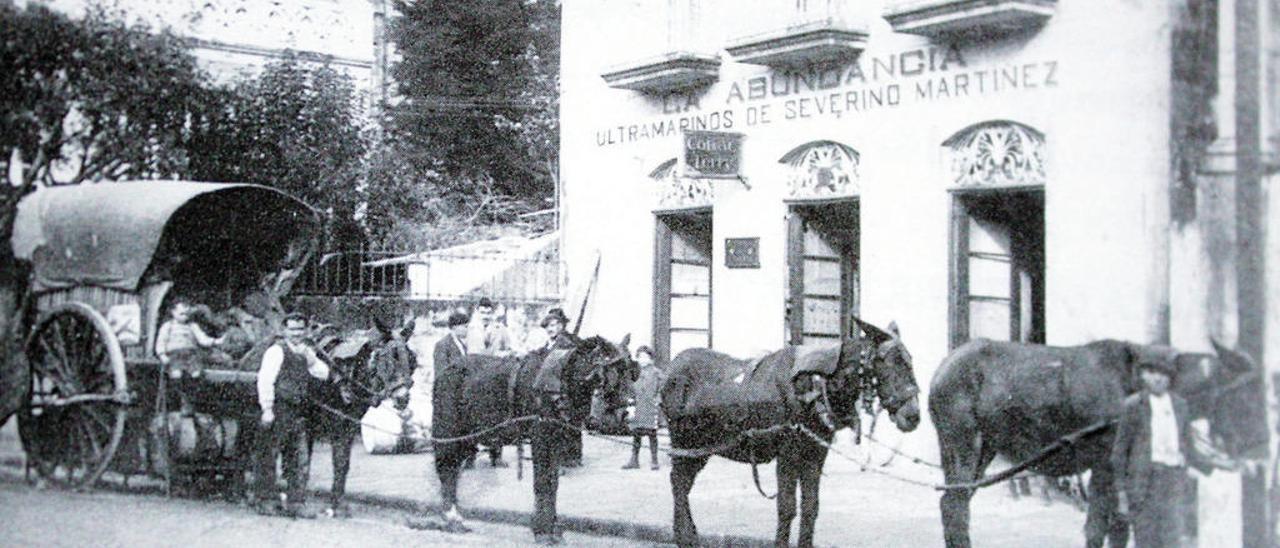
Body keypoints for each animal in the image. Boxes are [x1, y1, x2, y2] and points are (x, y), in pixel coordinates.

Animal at [432, 332, 632, 540]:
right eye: (604, 374)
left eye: (628, 371)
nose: (622, 414)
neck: (557, 384)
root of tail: (448, 369)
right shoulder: (541, 439)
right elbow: (542, 482)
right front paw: (543, 532)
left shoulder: (556, 442)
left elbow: (553, 483)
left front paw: (551, 529)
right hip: (449, 431)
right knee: (447, 468)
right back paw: (451, 518)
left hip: (468, 436)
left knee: (454, 469)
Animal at [660, 318, 921, 545]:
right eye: (887, 361)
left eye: (910, 360)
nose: (913, 416)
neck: (816, 389)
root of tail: (669, 370)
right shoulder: (787, 454)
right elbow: (787, 508)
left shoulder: (815, 455)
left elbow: (810, 508)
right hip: (684, 442)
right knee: (678, 483)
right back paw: (685, 536)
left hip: (701, 448)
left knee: (682, 484)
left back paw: (688, 536)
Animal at [931, 338, 1269, 548]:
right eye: (1243, 396)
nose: (1262, 453)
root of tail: (942, 369)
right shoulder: (1107, 464)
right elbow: (1105, 528)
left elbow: (1114, 528)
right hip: (963, 443)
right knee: (955, 506)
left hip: (984, 448)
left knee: (954, 503)